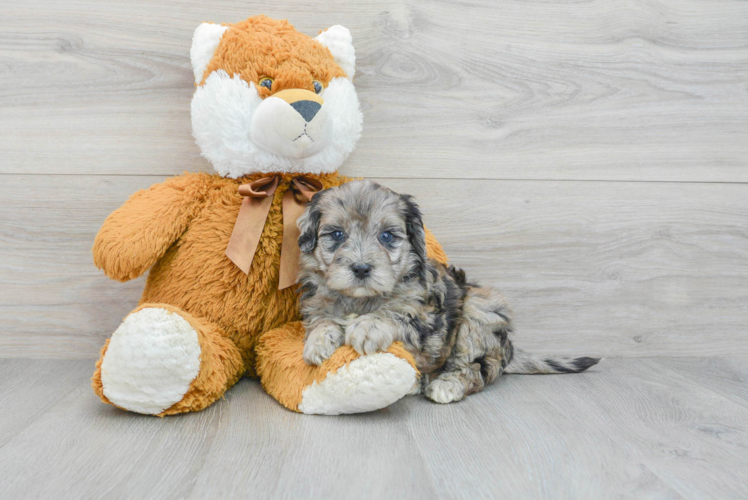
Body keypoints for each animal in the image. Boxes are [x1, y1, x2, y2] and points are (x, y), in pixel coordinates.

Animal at [296, 180, 600, 402]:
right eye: (337, 235)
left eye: (387, 236)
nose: (361, 268)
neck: (362, 300)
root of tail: (510, 350)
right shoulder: (317, 302)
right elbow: (321, 318)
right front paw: (319, 340)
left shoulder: (427, 315)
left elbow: (398, 314)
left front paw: (368, 326)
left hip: (480, 311)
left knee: (476, 370)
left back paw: (445, 384)